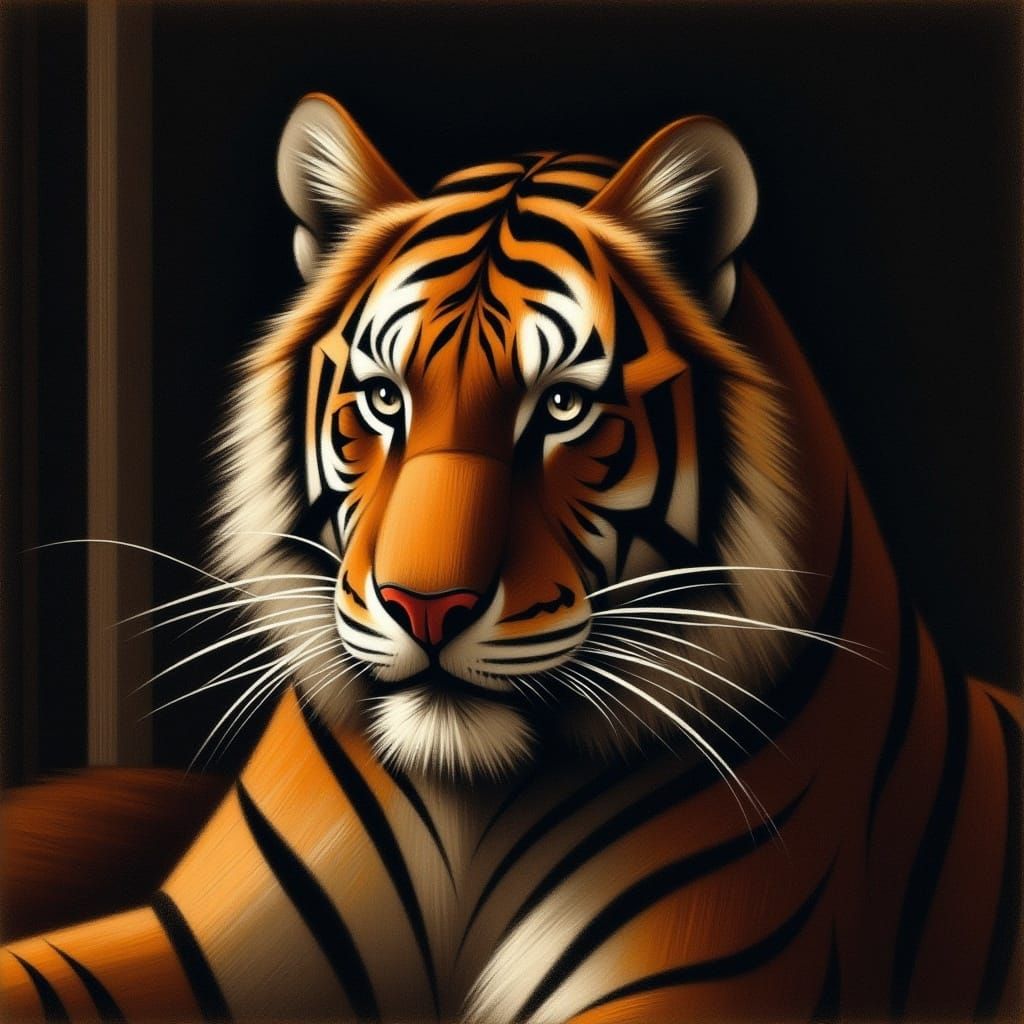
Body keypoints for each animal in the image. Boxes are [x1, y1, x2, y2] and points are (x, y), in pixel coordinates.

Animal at [3, 93, 1020, 1023]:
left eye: (562, 408)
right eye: (384, 397)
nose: (426, 607)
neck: (468, 813)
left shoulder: (694, 980)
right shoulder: (206, 942)